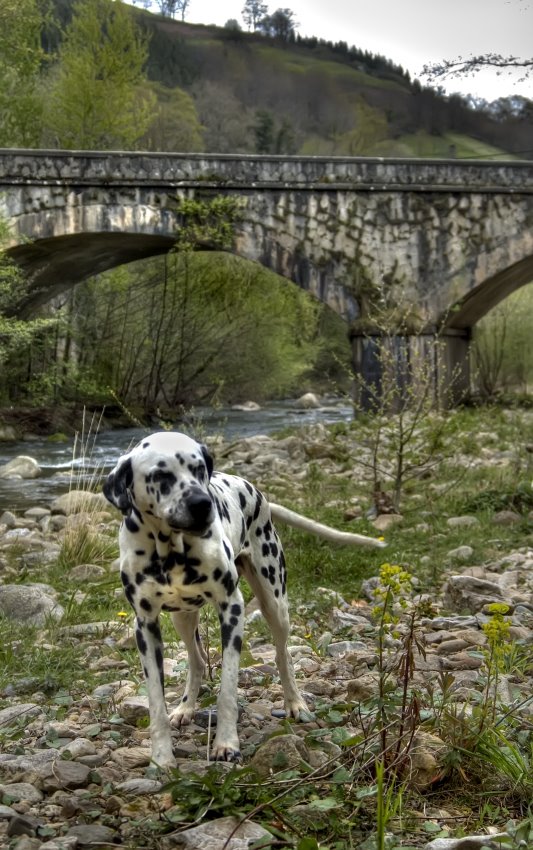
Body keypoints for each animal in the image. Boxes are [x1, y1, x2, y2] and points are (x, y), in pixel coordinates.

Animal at [102, 430, 384, 768]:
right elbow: (156, 700)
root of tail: (253, 490)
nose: (202, 503)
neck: (171, 551)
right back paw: (185, 708)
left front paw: (226, 743)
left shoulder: (232, 609)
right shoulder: (145, 627)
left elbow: (227, 689)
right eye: (160, 475)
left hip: (275, 603)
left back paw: (296, 703)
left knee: (283, 656)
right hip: (181, 617)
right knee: (197, 661)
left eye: (199, 469)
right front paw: (161, 758)